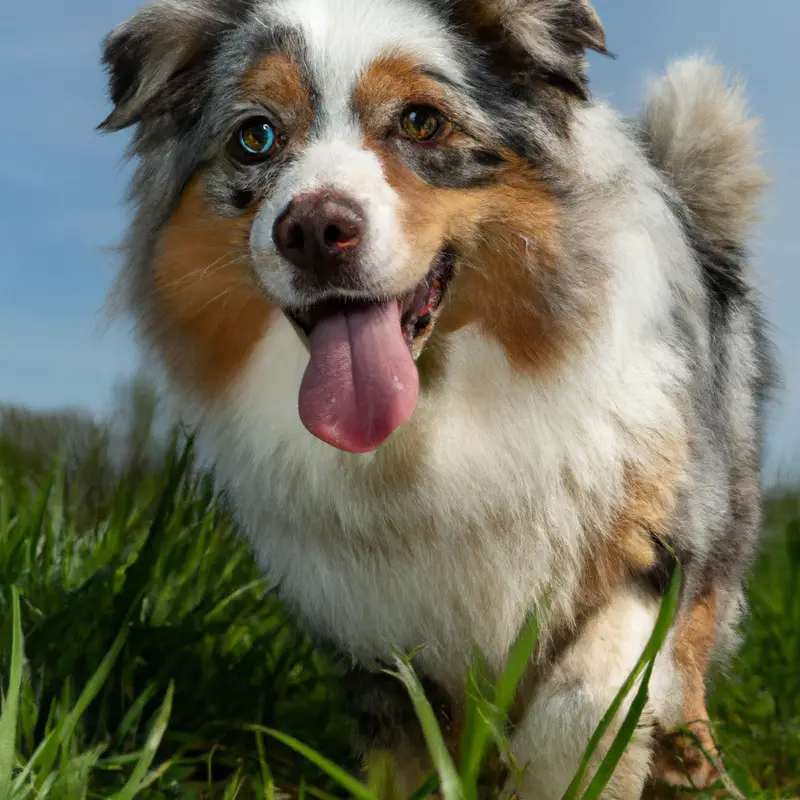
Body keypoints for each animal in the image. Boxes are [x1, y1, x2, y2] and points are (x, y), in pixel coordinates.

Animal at [98, 0, 776, 792]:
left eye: (421, 122)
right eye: (255, 137)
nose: (314, 230)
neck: (435, 423)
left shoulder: (662, 530)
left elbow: (584, 703)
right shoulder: (376, 629)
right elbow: (411, 759)